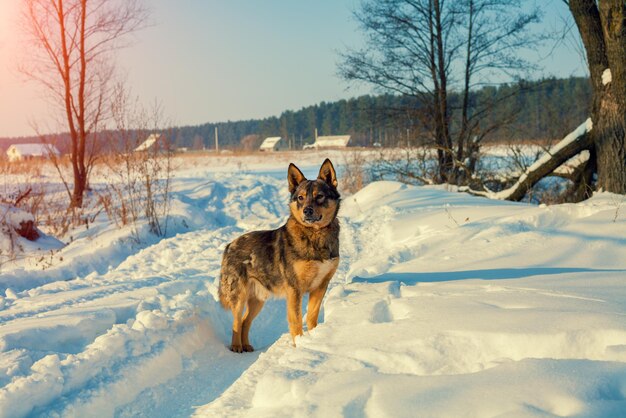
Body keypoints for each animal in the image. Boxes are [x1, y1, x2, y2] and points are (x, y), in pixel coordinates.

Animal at [217, 158, 338, 352]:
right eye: (300, 198)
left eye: (319, 196)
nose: (307, 211)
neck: (315, 235)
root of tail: (229, 246)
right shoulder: (294, 290)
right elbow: (296, 321)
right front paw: (299, 344)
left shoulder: (321, 286)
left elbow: (312, 317)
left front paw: (314, 340)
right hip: (239, 296)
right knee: (236, 321)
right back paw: (236, 346)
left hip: (257, 300)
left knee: (244, 321)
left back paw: (246, 346)